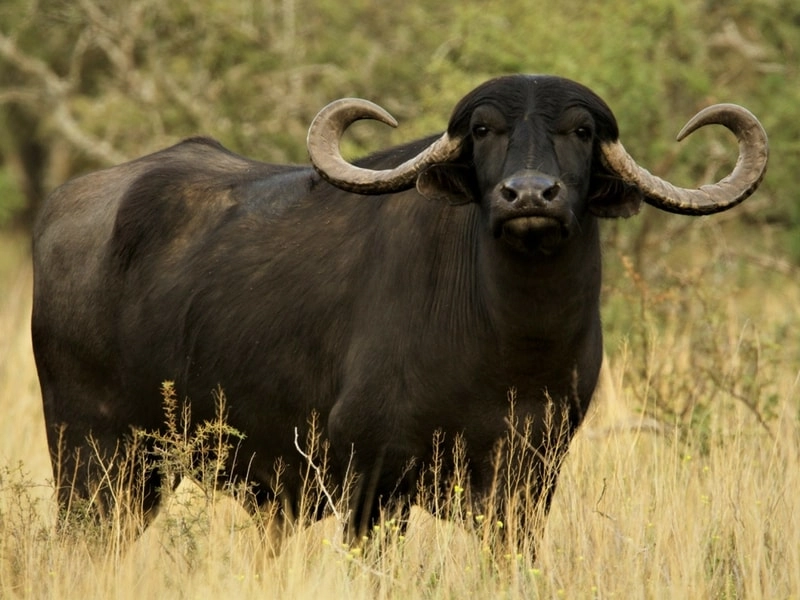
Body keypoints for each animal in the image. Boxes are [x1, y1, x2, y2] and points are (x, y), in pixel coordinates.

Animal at [31, 75, 767, 546]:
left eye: (581, 130)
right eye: (484, 129)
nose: (530, 195)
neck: (510, 350)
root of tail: (62, 208)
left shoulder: (528, 485)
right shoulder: (373, 483)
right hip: (93, 461)